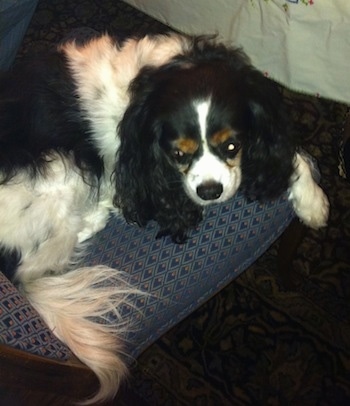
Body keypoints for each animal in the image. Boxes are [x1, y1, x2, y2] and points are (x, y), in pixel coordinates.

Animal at [0, 32, 330, 402]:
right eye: (178, 154)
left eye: (232, 146)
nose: (210, 191)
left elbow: (290, 154)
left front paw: (313, 201)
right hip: (60, 166)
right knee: (43, 259)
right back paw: (97, 213)